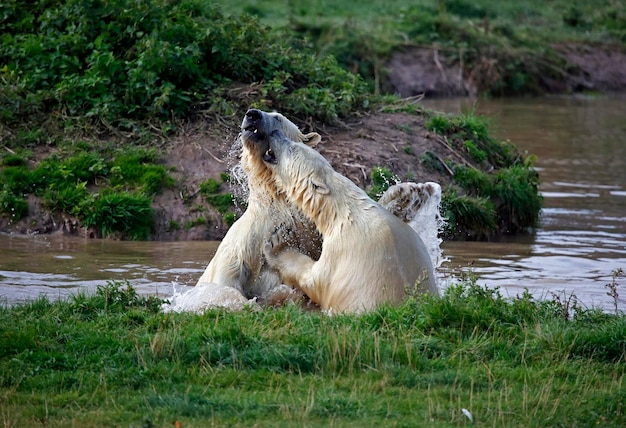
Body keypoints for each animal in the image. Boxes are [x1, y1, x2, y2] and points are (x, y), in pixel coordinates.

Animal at [255, 129, 438, 312]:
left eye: (291, 147)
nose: (275, 132)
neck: (343, 212)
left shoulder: (339, 251)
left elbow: (314, 280)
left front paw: (278, 244)